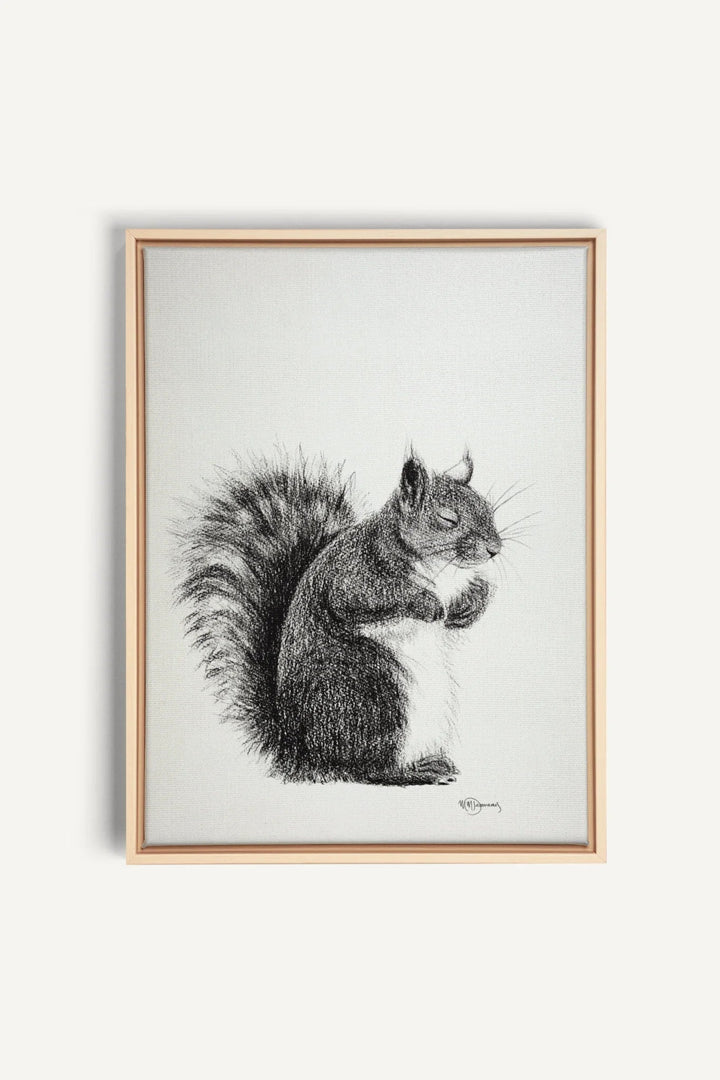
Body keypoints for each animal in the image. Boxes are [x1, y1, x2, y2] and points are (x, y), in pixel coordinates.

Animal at [178, 450, 501, 786]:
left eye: (488, 510)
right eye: (448, 519)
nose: (495, 549)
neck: (441, 568)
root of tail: (300, 750)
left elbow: (474, 594)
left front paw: (470, 607)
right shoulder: (354, 575)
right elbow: (363, 598)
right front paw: (427, 604)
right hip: (368, 698)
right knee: (367, 767)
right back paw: (415, 772)